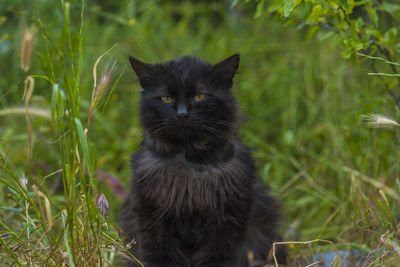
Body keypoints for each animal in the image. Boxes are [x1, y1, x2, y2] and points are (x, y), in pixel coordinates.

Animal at [120, 53, 286, 266]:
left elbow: (217, 256)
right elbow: (161, 256)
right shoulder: (153, 219)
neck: (190, 161)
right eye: (166, 98)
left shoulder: (227, 222)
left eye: (199, 96)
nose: (182, 114)